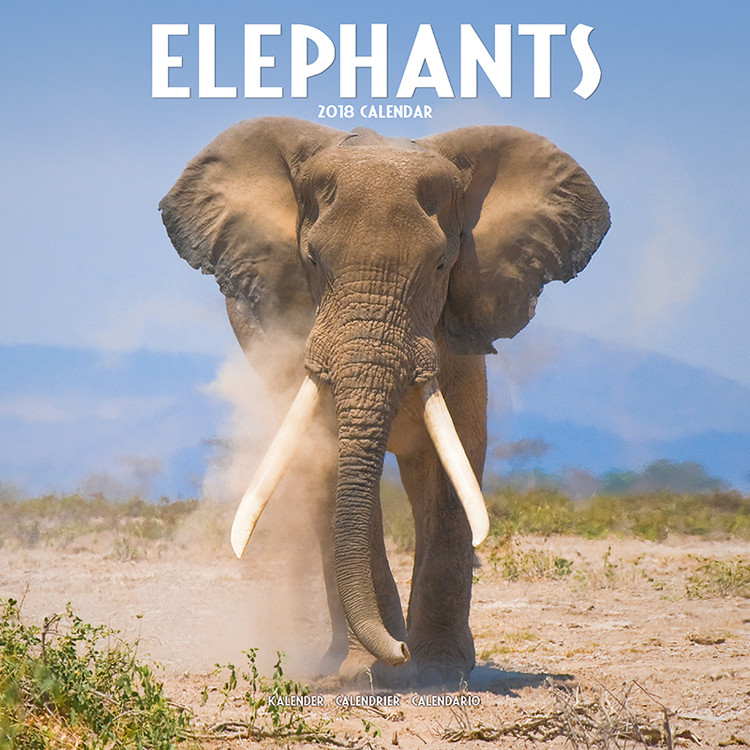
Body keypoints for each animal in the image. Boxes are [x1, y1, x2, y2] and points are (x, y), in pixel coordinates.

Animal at [159, 117, 609, 686]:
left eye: (441, 264)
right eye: (312, 260)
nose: (398, 650)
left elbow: (453, 461)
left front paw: (438, 671)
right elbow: (333, 466)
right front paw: (364, 671)